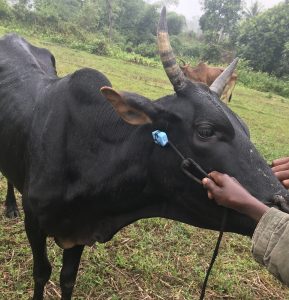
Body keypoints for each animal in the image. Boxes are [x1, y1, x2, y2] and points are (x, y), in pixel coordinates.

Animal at [0, 7, 286, 300]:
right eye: (206, 130)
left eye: (246, 128)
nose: (283, 201)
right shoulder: (35, 223)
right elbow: (41, 272)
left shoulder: (80, 231)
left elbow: (68, 278)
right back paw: (10, 206)